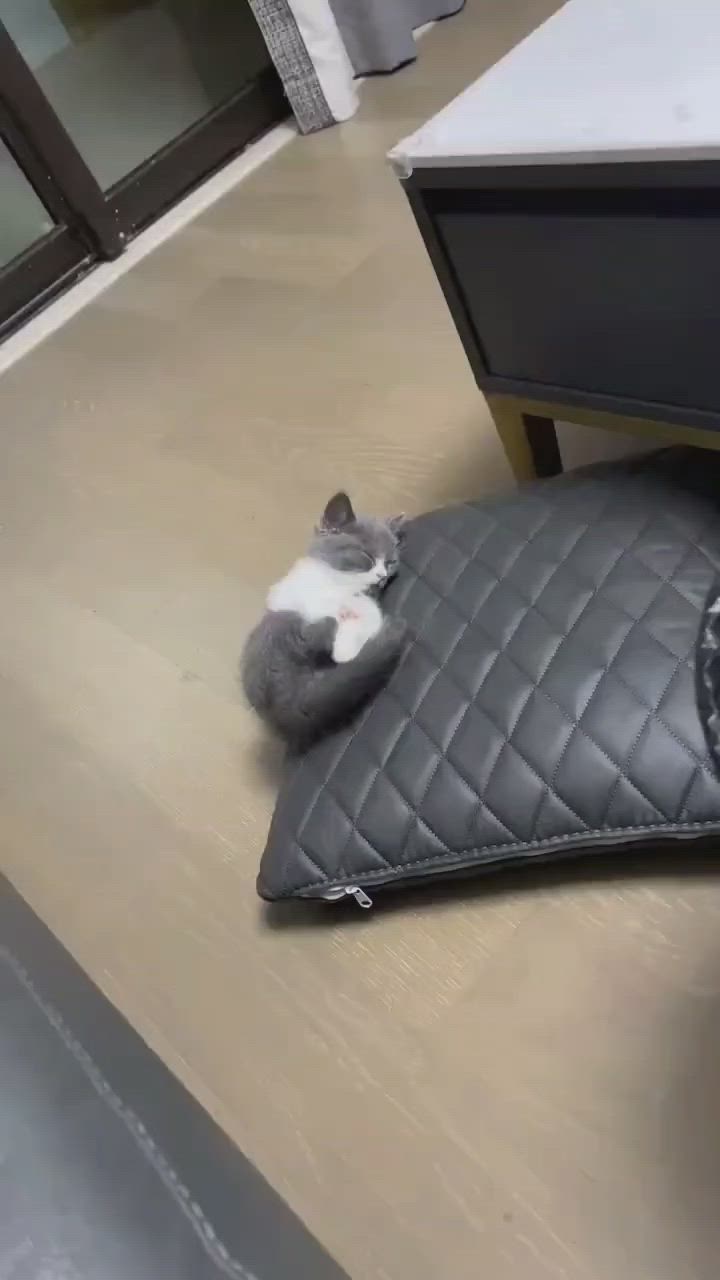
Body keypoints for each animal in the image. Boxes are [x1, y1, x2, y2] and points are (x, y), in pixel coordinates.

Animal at [240, 491, 407, 747]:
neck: (343, 584)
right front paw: (346, 645)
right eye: (367, 557)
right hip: (282, 624)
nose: (381, 576)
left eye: (390, 562)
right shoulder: (300, 590)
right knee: (311, 635)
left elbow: (369, 612)